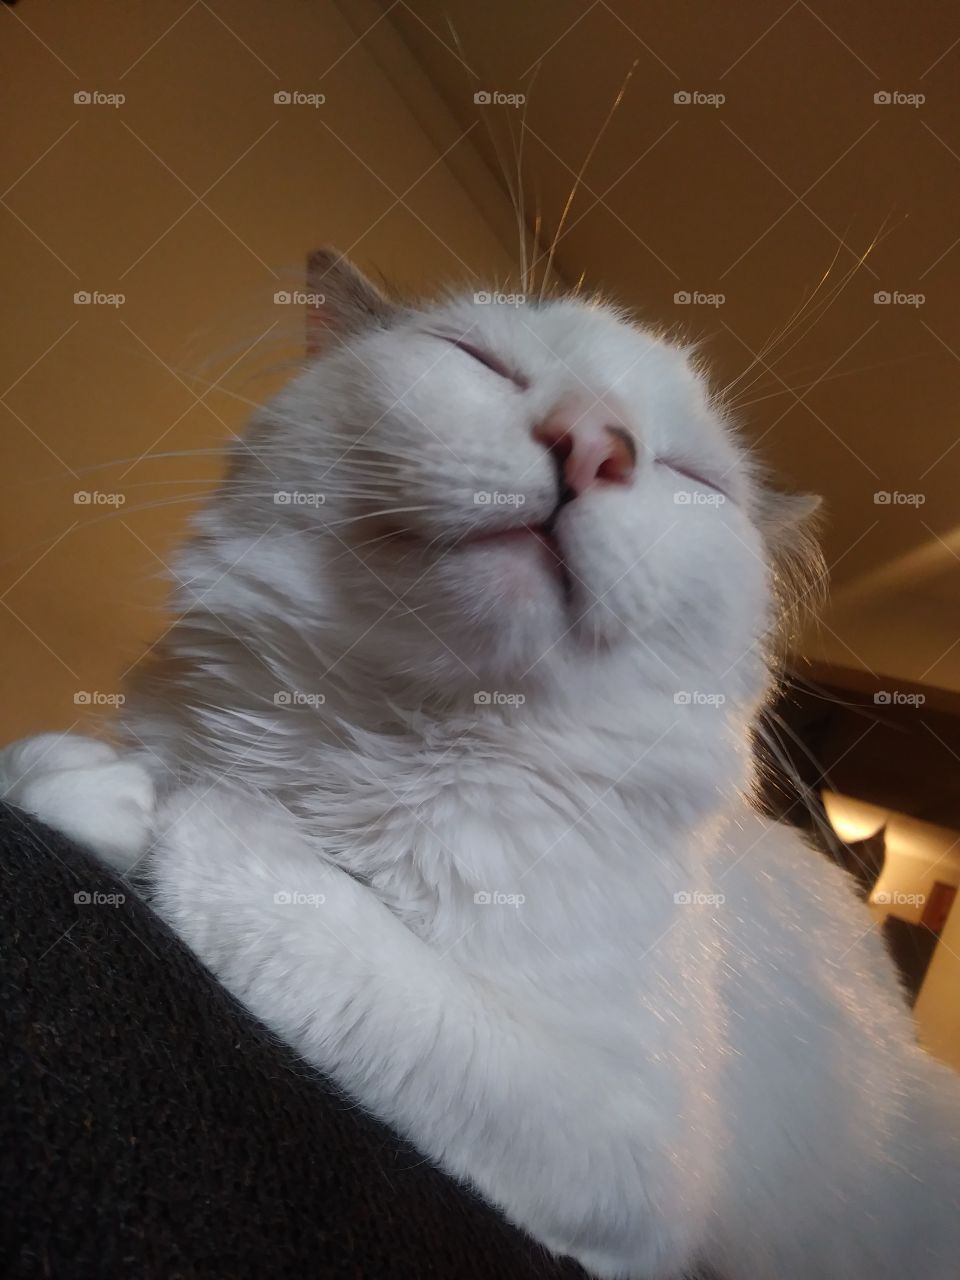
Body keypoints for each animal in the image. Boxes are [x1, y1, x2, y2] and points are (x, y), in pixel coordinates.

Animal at [1, 252, 960, 1280]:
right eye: (480, 361)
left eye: (687, 475)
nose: (594, 443)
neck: (388, 735)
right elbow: (66, 764)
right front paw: (84, 780)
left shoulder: (620, 1152)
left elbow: (282, 884)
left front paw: (151, 805)